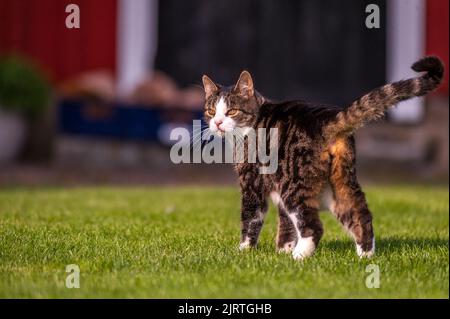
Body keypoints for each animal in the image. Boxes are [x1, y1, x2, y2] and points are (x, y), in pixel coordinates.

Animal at [202, 57, 444, 262]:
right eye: (211, 111)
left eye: (232, 111)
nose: (217, 123)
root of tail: (326, 119)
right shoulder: (276, 188)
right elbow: (286, 223)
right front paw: (282, 250)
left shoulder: (252, 182)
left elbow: (251, 217)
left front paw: (244, 251)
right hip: (338, 182)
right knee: (360, 214)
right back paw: (364, 256)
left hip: (294, 183)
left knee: (314, 225)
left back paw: (299, 257)